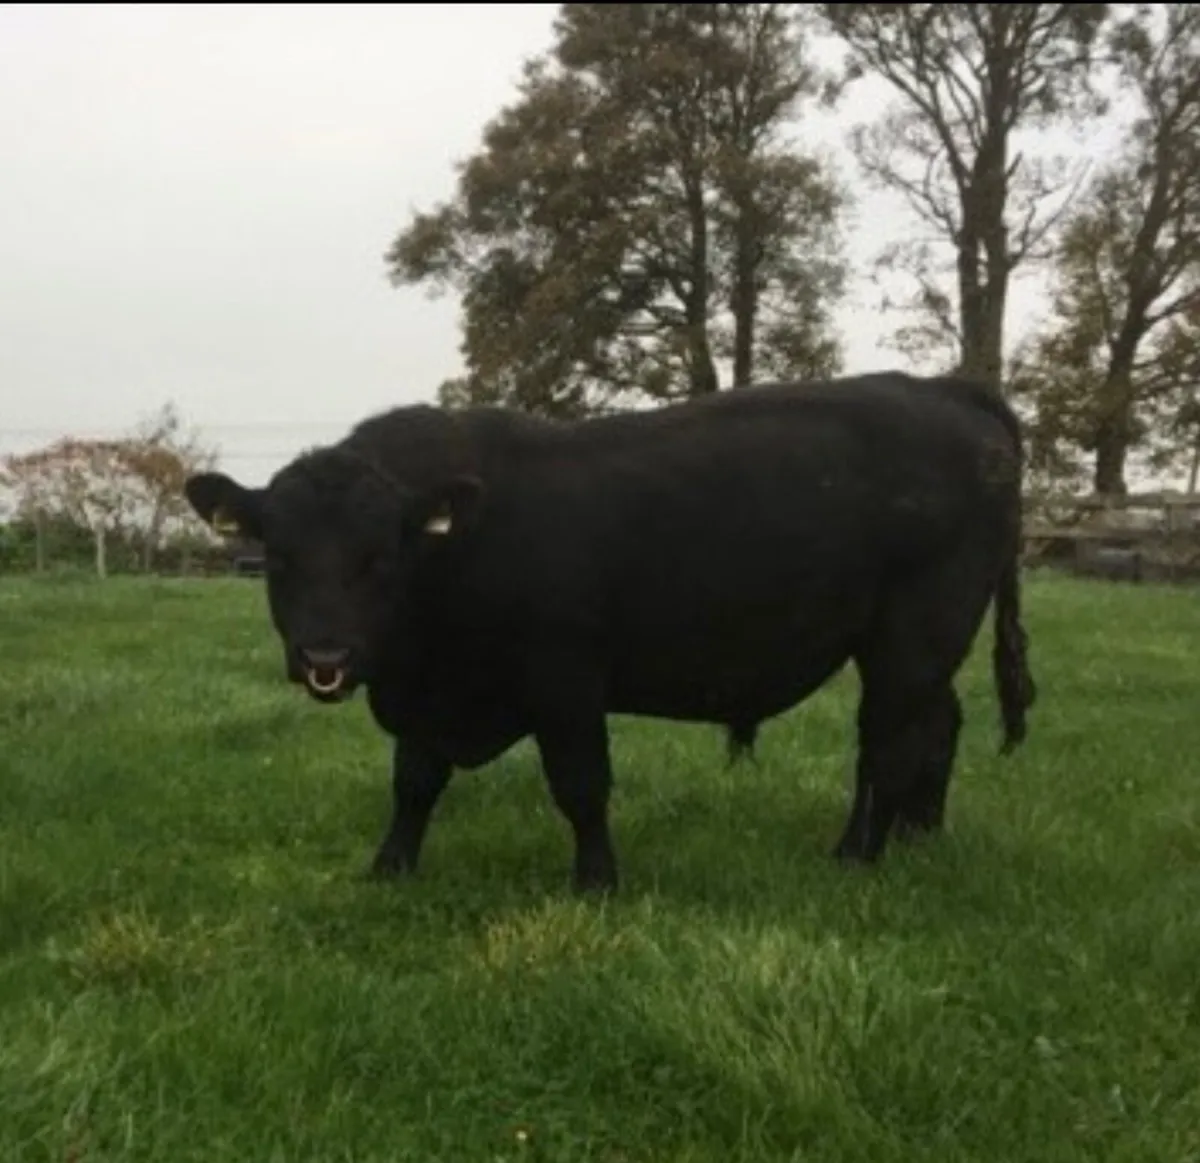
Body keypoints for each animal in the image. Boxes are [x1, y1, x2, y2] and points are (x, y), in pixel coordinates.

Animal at [184, 370, 1036, 895]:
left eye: (381, 557)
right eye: (278, 557)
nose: (325, 656)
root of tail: (945, 388)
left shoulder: (566, 682)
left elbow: (581, 785)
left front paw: (596, 881)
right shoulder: (426, 695)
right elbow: (415, 782)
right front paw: (390, 867)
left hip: (913, 632)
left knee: (888, 741)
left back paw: (856, 856)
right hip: (922, 643)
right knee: (936, 727)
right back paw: (920, 837)